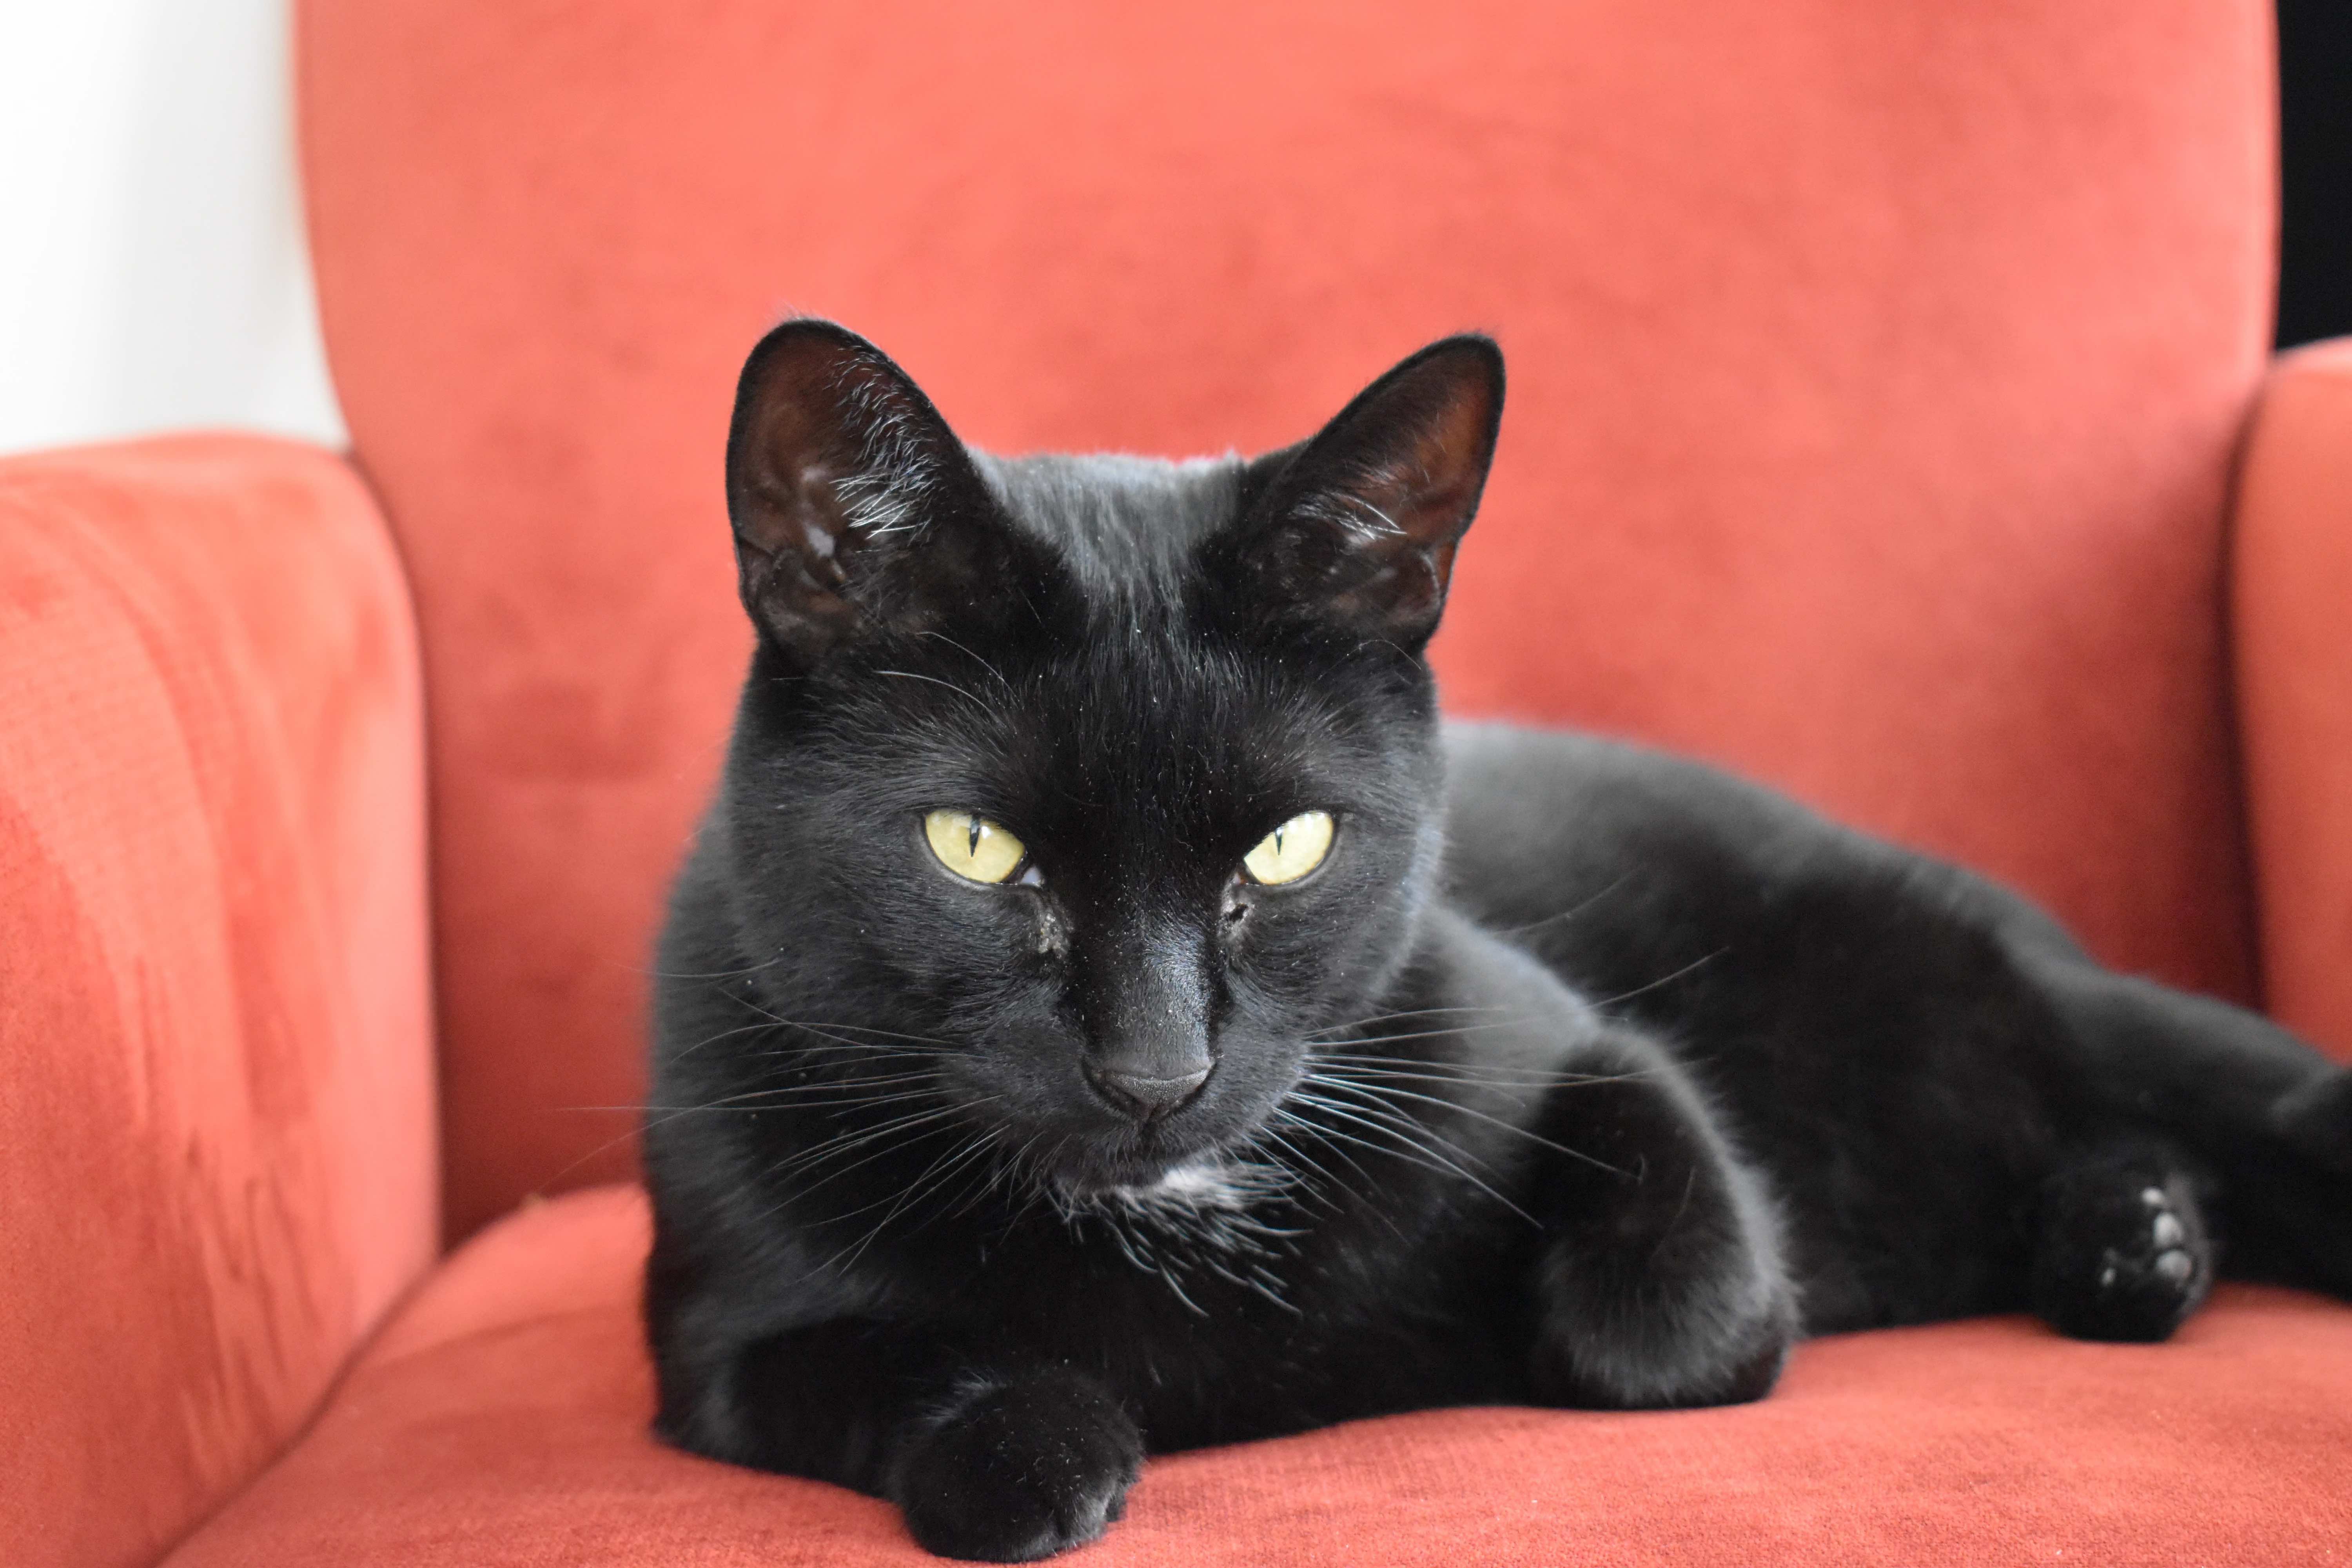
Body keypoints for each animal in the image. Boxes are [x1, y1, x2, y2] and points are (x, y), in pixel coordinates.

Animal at [644, 324, 2352, 1561]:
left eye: (1291, 844)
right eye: (977, 848)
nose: (1156, 1068)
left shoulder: (1552, 1030)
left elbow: (1673, 1317)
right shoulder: (713, 1331)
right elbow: (889, 1376)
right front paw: (1035, 1443)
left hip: (2033, 1001)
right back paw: (2135, 1238)